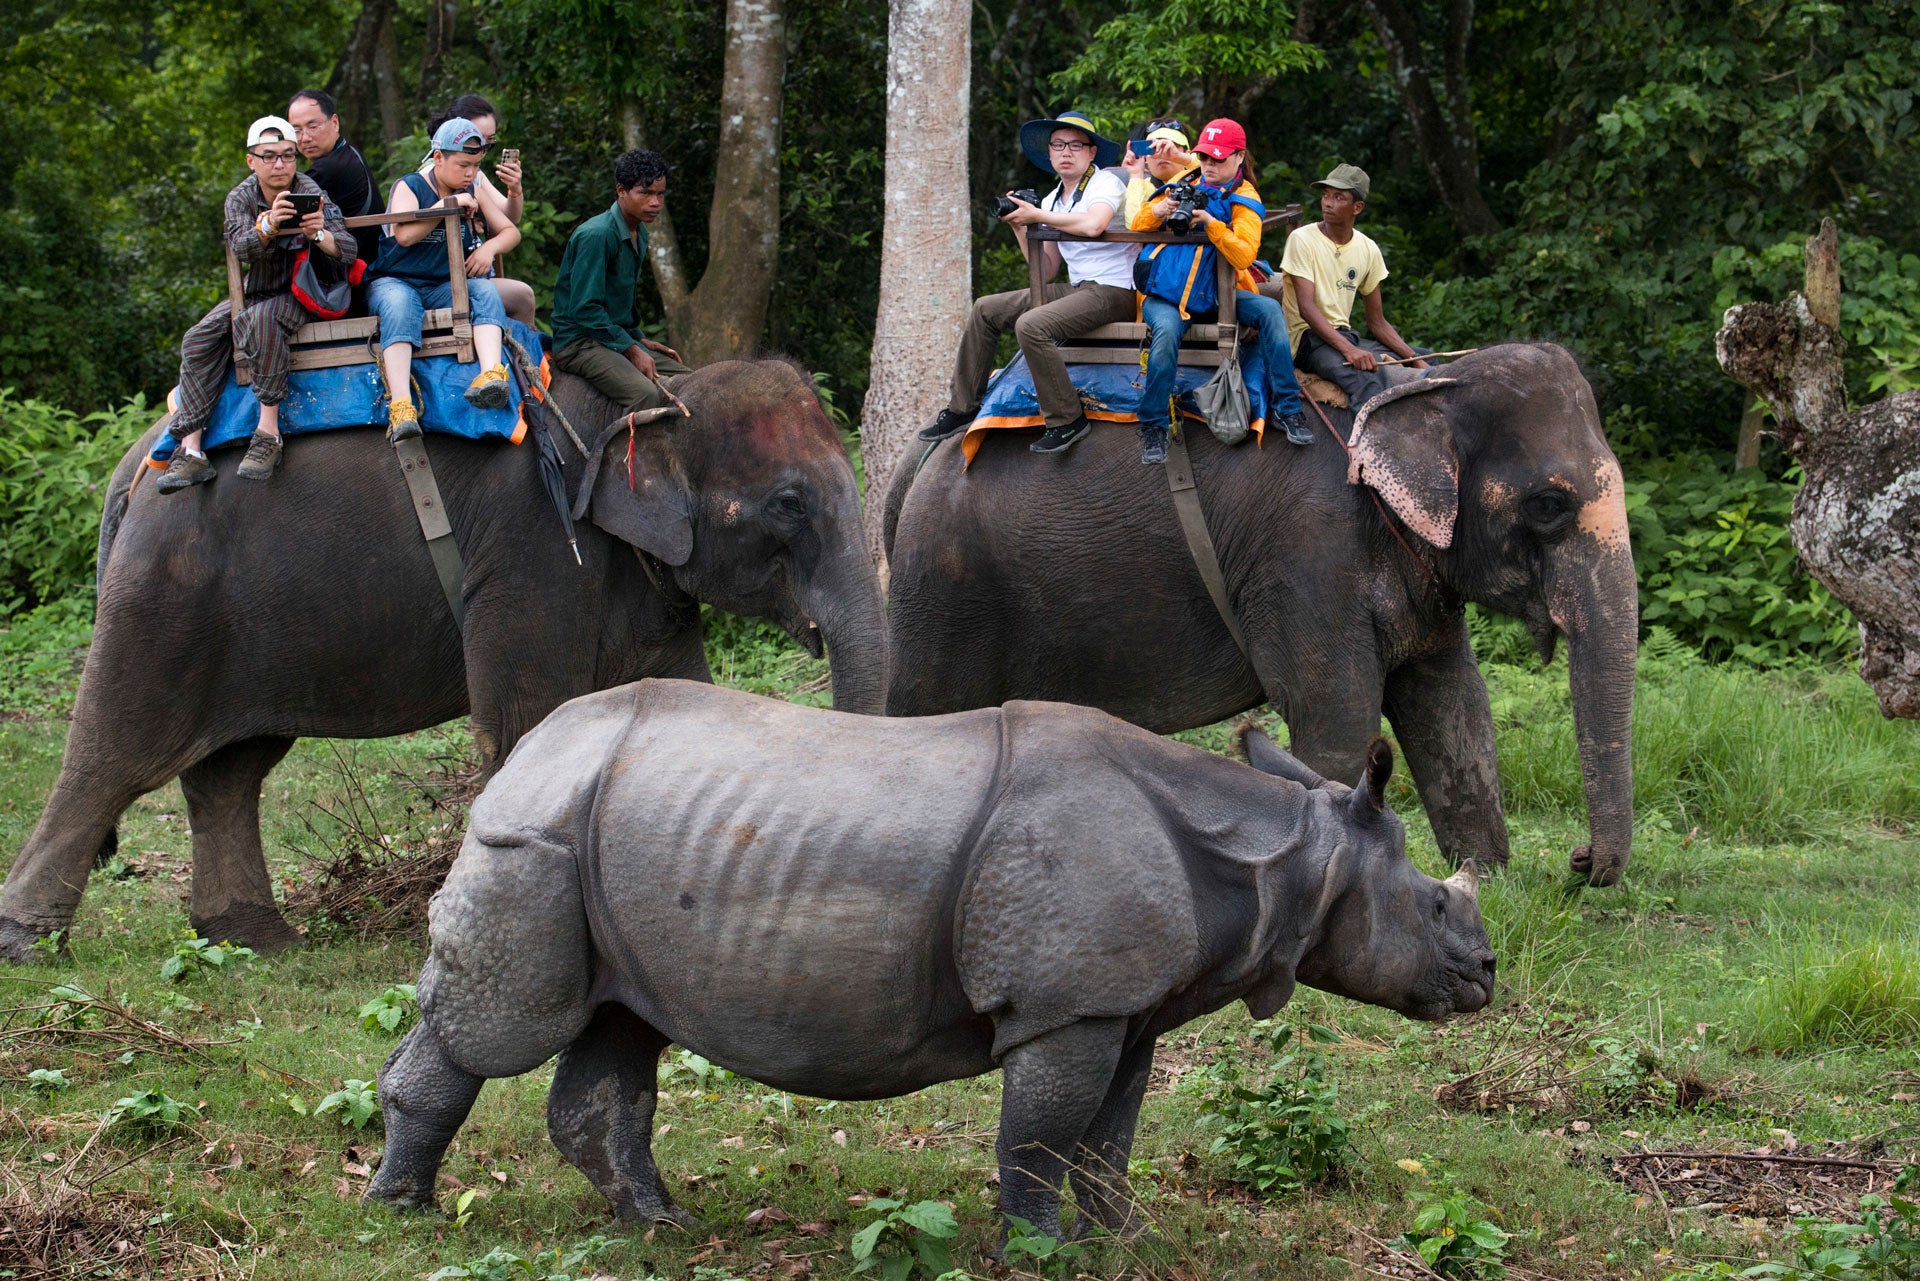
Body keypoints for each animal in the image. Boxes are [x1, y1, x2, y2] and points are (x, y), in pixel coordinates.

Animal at [0, 360, 886, 961]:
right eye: (788, 504)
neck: (658, 390)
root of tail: (133, 465)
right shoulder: (531, 553)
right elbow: (525, 722)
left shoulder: (641, 579)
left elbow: (680, 703)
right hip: (165, 596)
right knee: (113, 752)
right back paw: (30, 944)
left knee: (230, 769)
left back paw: (256, 938)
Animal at [364, 678, 1494, 1243]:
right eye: (1435, 902)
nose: (1485, 975)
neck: (1284, 856)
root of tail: (527, 748)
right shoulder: (1068, 1004)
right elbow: (1042, 1137)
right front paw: (1042, 1252)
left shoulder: (1126, 1003)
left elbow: (1108, 1139)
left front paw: (1128, 1243)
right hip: (537, 840)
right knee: (504, 1027)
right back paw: (404, 1211)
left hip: (610, 836)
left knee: (620, 1025)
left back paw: (658, 1225)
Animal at [884, 343, 1638, 885]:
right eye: (1549, 504)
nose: (1577, 861)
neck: (1419, 385)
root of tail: (927, 450)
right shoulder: (1307, 555)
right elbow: (1337, 720)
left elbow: (1454, 706)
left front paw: (1487, 880)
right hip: (944, 588)